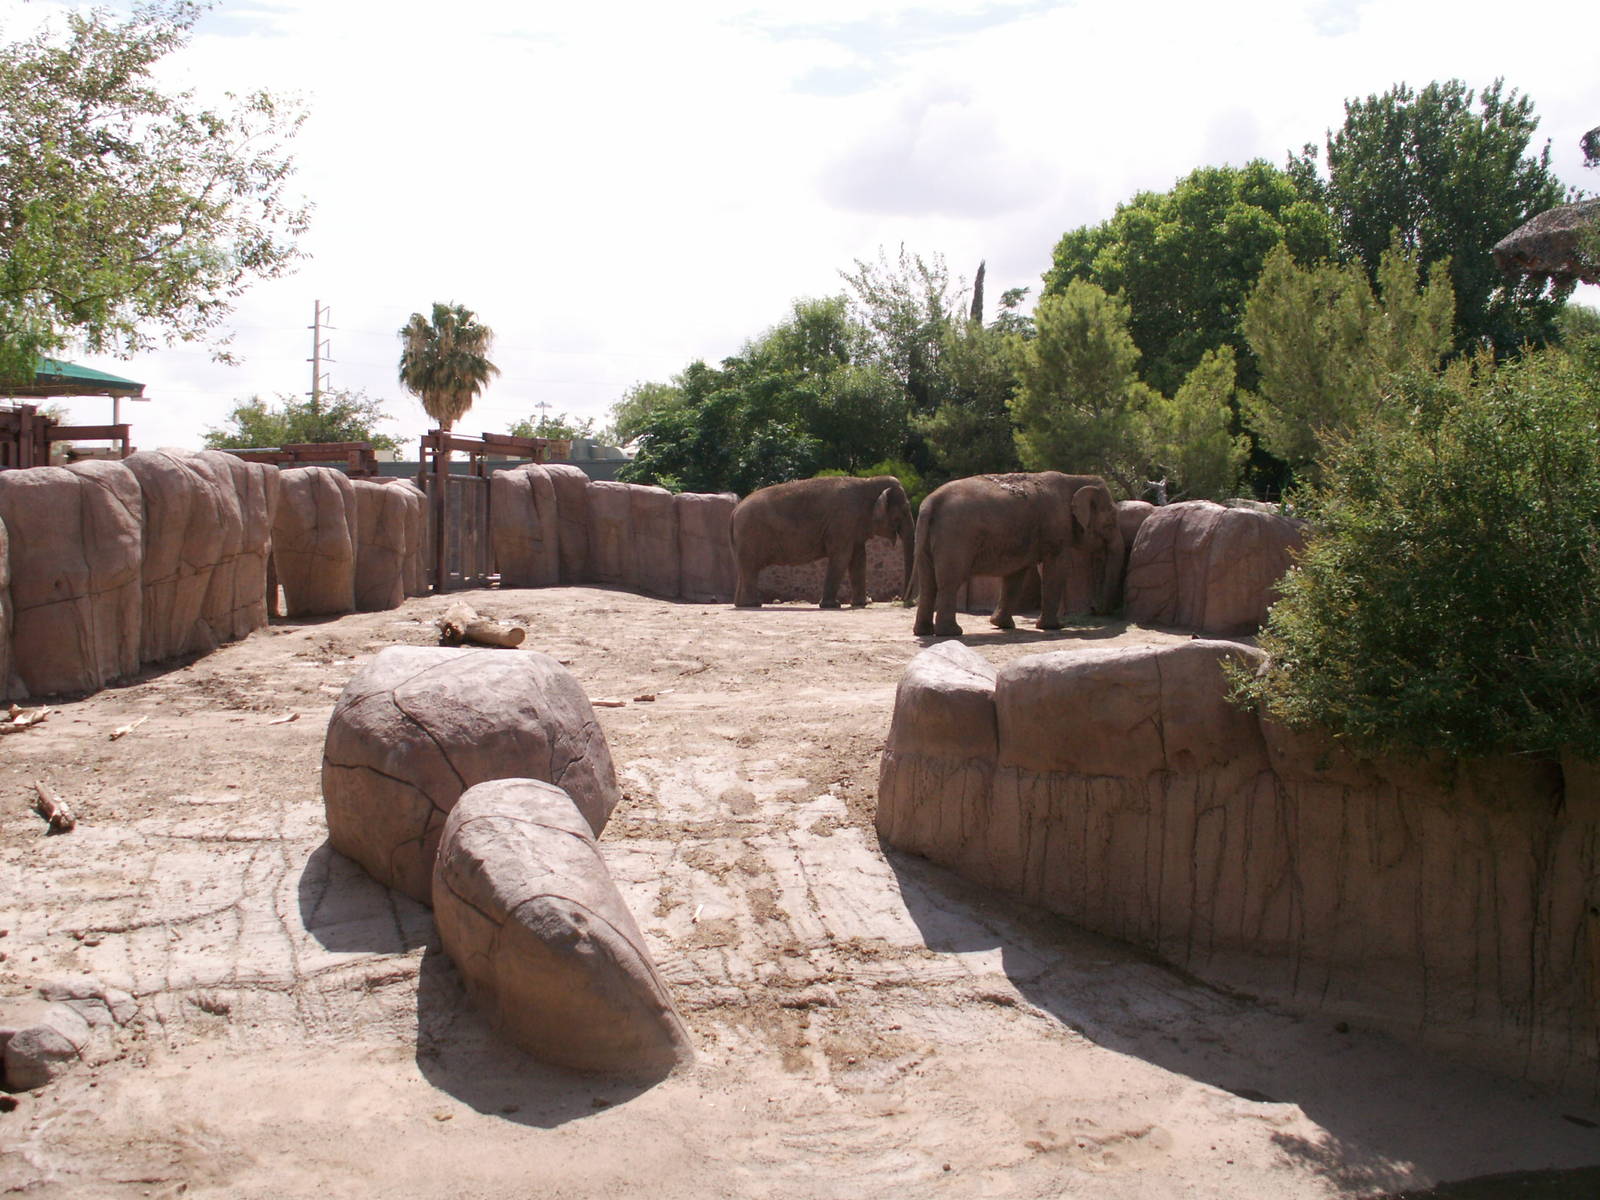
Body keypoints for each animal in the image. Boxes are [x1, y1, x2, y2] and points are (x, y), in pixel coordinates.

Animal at [730, 475, 915, 609]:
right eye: (904, 512)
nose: (905, 601)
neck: (868, 481)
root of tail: (734, 511)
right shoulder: (843, 521)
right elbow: (841, 557)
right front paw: (832, 606)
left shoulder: (853, 526)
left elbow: (859, 559)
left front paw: (860, 604)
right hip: (750, 535)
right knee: (750, 568)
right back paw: (753, 604)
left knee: (744, 569)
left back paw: (742, 604)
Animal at [912, 472, 1124, 638]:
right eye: (1111, 521)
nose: (1095, 608)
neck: (1075, 478)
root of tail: (931, 503)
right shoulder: (1055, 529)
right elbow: (1055, 569)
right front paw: (1054, 627)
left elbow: (1015, 575)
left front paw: (1002, 625)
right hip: (956, 537)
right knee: (950, 581)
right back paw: (952, 633)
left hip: (926, 539)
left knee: (927, 582)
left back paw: (923, 632)